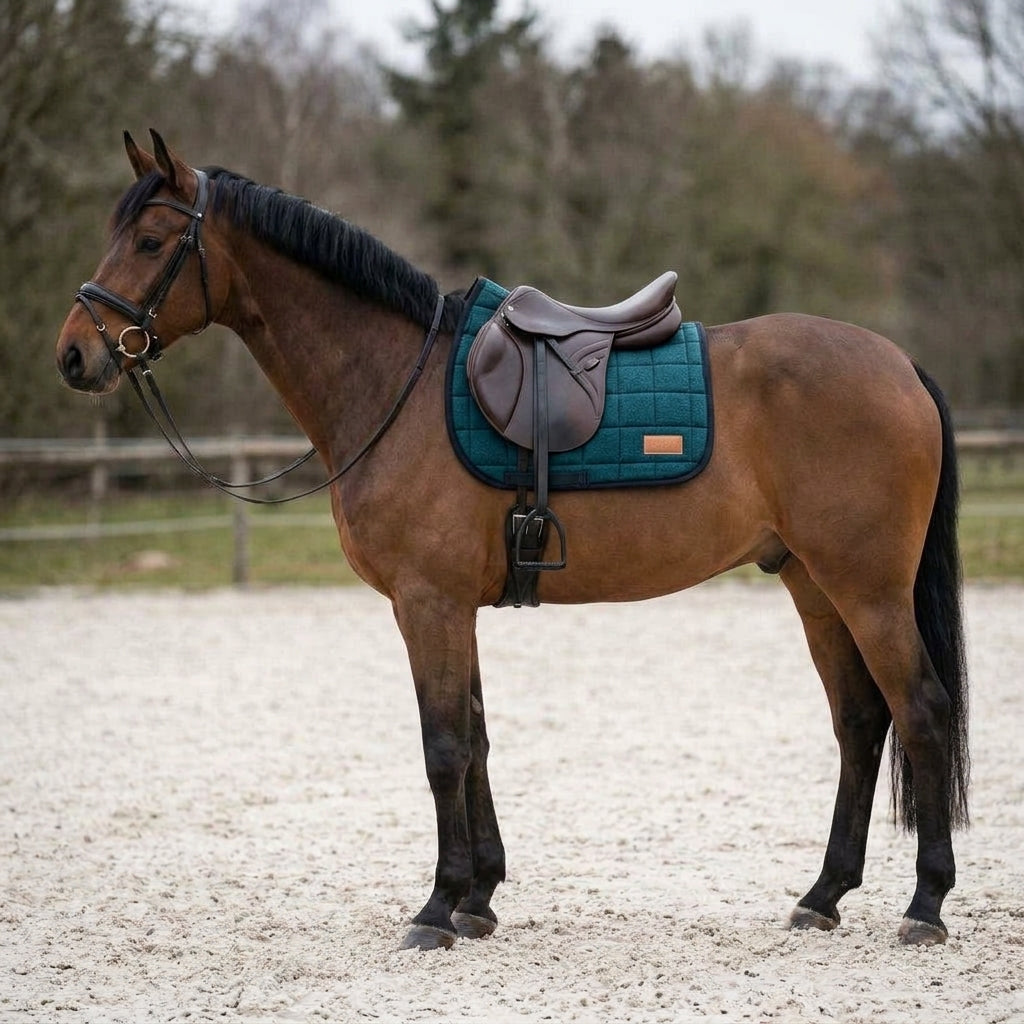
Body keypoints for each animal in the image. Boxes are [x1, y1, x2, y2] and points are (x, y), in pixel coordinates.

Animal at [55, 131, 969, 952]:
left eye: (149, 241)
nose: (73, 355)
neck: (396, 384)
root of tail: (900, 365)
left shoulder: (427, 603)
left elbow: (443, 747)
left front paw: (436, 907)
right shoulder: (454, 606)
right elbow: (477, 740)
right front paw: (479, 898)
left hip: (867, 588)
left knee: (921, 710)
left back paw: (925, 906)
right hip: (812, 583)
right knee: (860, 722)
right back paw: (823, 895)